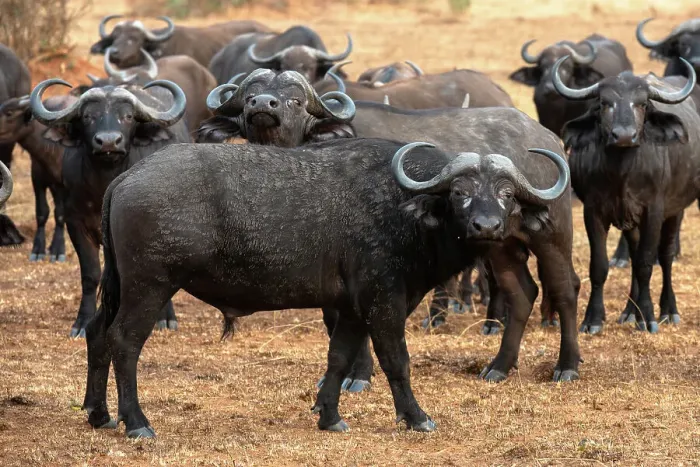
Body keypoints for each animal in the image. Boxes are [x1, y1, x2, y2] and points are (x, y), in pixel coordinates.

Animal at [30, 78, 189, 338]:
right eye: (87, 116)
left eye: (128, 116)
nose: (108, 141)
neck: (103, 185)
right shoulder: (76, 223)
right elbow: (90, 274)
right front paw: (82, 322)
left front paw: (163, 318)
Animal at [554, 56, 700, 334]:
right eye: (604, 103)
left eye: (642, 104)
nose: (623, 136)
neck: (622, 174)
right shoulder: (593, 211)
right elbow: (600, 266)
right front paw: (593, 319)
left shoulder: (654, 211)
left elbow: (645, 264)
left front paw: (649, 317)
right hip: (631, 223)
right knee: (632, 254)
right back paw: (630, 311)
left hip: (676, 210)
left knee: (665, 256)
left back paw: (668, 310)